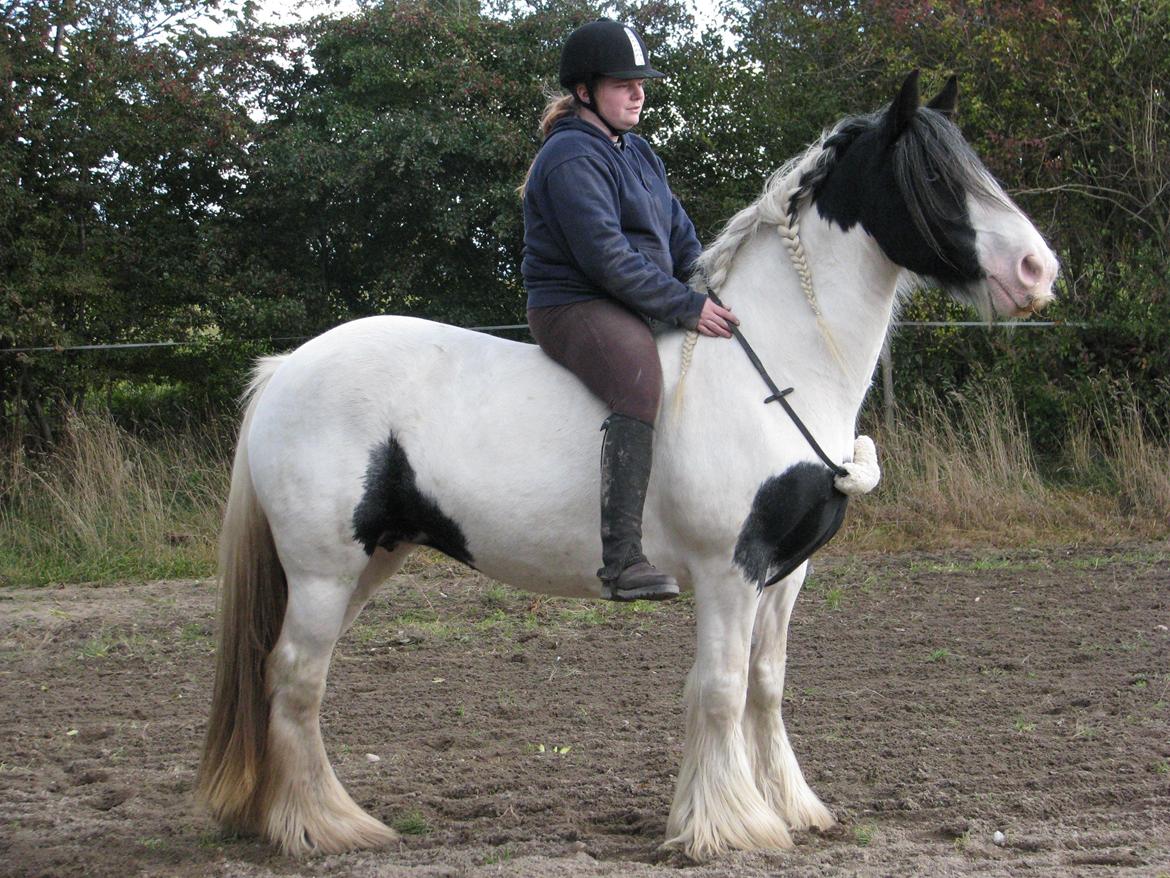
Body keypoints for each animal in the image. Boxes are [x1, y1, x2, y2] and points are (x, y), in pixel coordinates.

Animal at [194, 72, 1062, 861]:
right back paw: (325, 826)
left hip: (370, 562)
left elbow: (766, 686)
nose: (1036, 271)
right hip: (324, 570)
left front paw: (789, 808)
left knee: (285, 677)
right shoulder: (728, 571)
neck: (774, 367)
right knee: (296, 679)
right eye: (935, 177)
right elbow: (719, 689)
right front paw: (731, 827)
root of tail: (287, 369)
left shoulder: (784, 576)